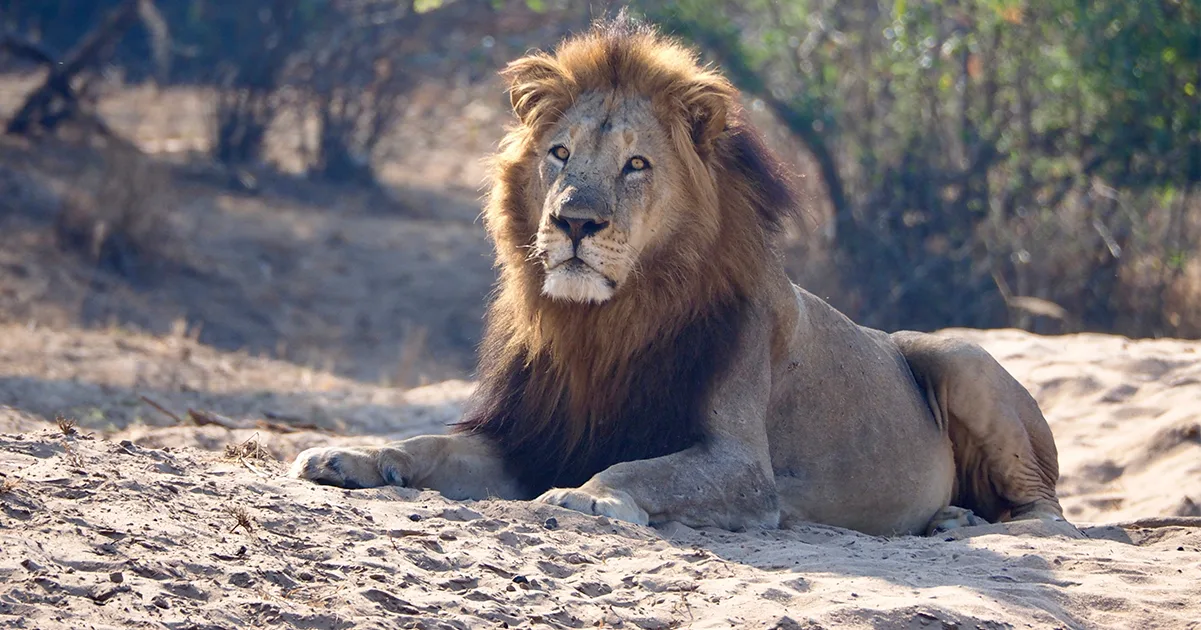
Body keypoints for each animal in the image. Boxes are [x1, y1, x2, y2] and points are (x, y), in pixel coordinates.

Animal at [289, 13, 1070, 537]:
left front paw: (585, 495)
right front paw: (350, 454)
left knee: (1049, 513)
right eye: (560, 154)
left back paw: (965, 525)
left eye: (636, 164)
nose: (573, 223)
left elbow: (641, 467)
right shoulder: (531, 438)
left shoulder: (742, 467)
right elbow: (427, 442)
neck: (603, 323)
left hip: (957, 355)